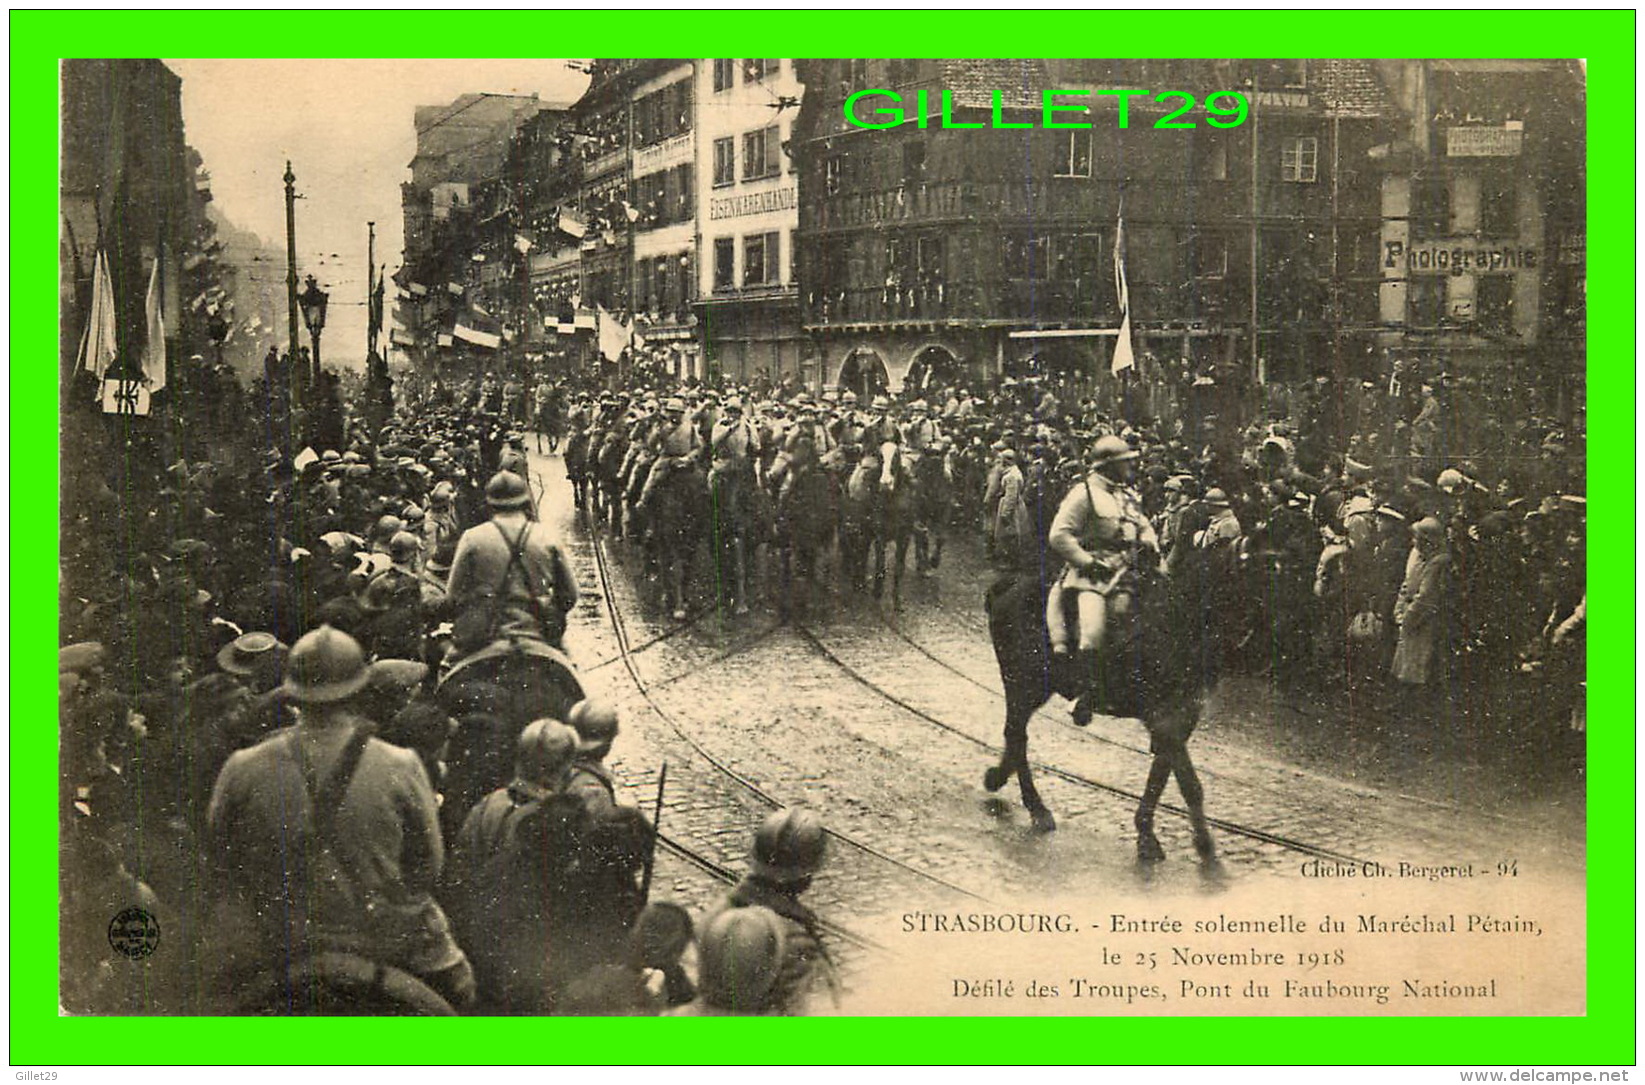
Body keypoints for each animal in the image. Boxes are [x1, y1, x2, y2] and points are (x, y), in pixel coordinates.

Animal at [980, 562, 1217, 861]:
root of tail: (1007, 585)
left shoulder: (1182, 717)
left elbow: (1163, 774)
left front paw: (1149, 834)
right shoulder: (1163, 718)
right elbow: (1188, 782)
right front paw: (1200, 843)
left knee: (1014, 737)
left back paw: (1000, 777)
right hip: (1023, 684)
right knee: (1016, 736)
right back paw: (1036, 807)